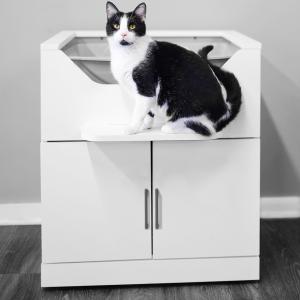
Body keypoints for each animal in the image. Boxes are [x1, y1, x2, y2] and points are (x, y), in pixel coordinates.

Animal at [105, 1, 241, 135]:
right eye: (116, 25)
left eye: (132, 26)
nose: (123, 34)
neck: (126, 54)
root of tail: (224, 111)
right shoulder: (146, 95)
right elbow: (149, 112)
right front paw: (146, 126)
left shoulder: (146, 88)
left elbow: (138, 113)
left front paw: (132, 128)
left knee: (205, 129)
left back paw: (172, 126)